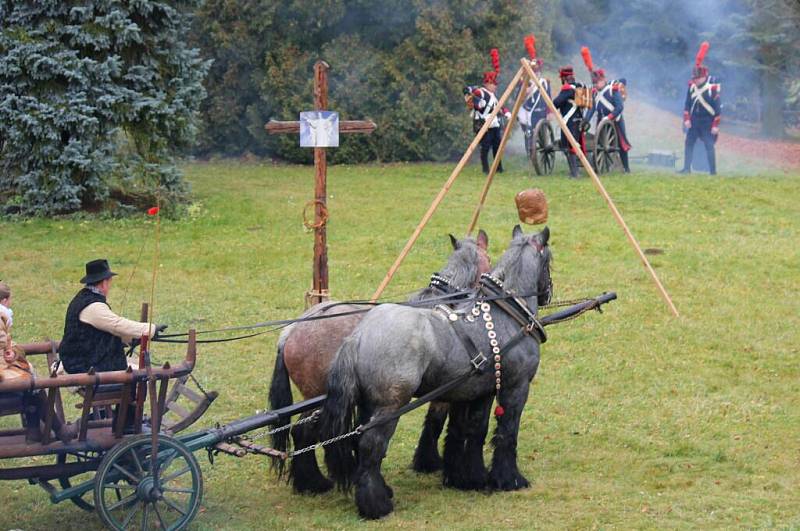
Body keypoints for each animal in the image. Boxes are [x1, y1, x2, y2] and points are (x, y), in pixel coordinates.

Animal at [318, 225, 552, 520]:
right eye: (550, 261)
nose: (548, 293)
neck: (505, 314)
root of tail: (358, 336)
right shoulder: (516, 387)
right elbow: (507, 432)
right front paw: (509, 479)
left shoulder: (481, 391)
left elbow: (475, 431)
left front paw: (471, 478)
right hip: (390, 407)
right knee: (372, 445)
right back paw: (376, 505)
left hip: (368, 404)